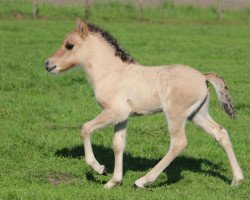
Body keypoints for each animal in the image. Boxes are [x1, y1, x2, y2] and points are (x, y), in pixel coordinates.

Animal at [44, 18, 243, 188]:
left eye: (69, 45)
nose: (48, 64)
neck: (110, 72)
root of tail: (203, 76)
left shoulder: (114, 112)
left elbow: (85, 128)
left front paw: (100, 169)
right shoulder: (123, 117)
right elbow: (118, 144)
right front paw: (113, 182)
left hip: (175, 115)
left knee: (178, 143)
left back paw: (143, 181)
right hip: (198, 114)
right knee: (221, 133)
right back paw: (237, 179)